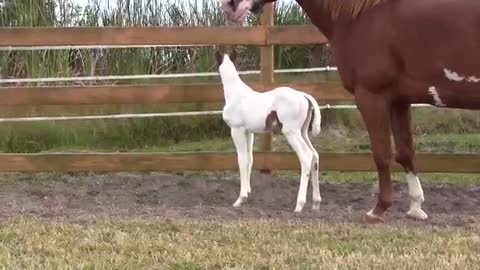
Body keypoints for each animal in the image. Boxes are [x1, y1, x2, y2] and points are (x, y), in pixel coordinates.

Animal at [217, 50, 322, 213]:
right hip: (303, 132)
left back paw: (299, 205)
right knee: (315, 156)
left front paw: (240, 199)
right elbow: (250, 160)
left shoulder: (237, 130)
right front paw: (248, 193)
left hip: (291, 132)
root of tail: (304, 96)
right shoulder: (249, 132)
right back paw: (316, 203)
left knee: (306, 157)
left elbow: (242, 160)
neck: (236, 94)